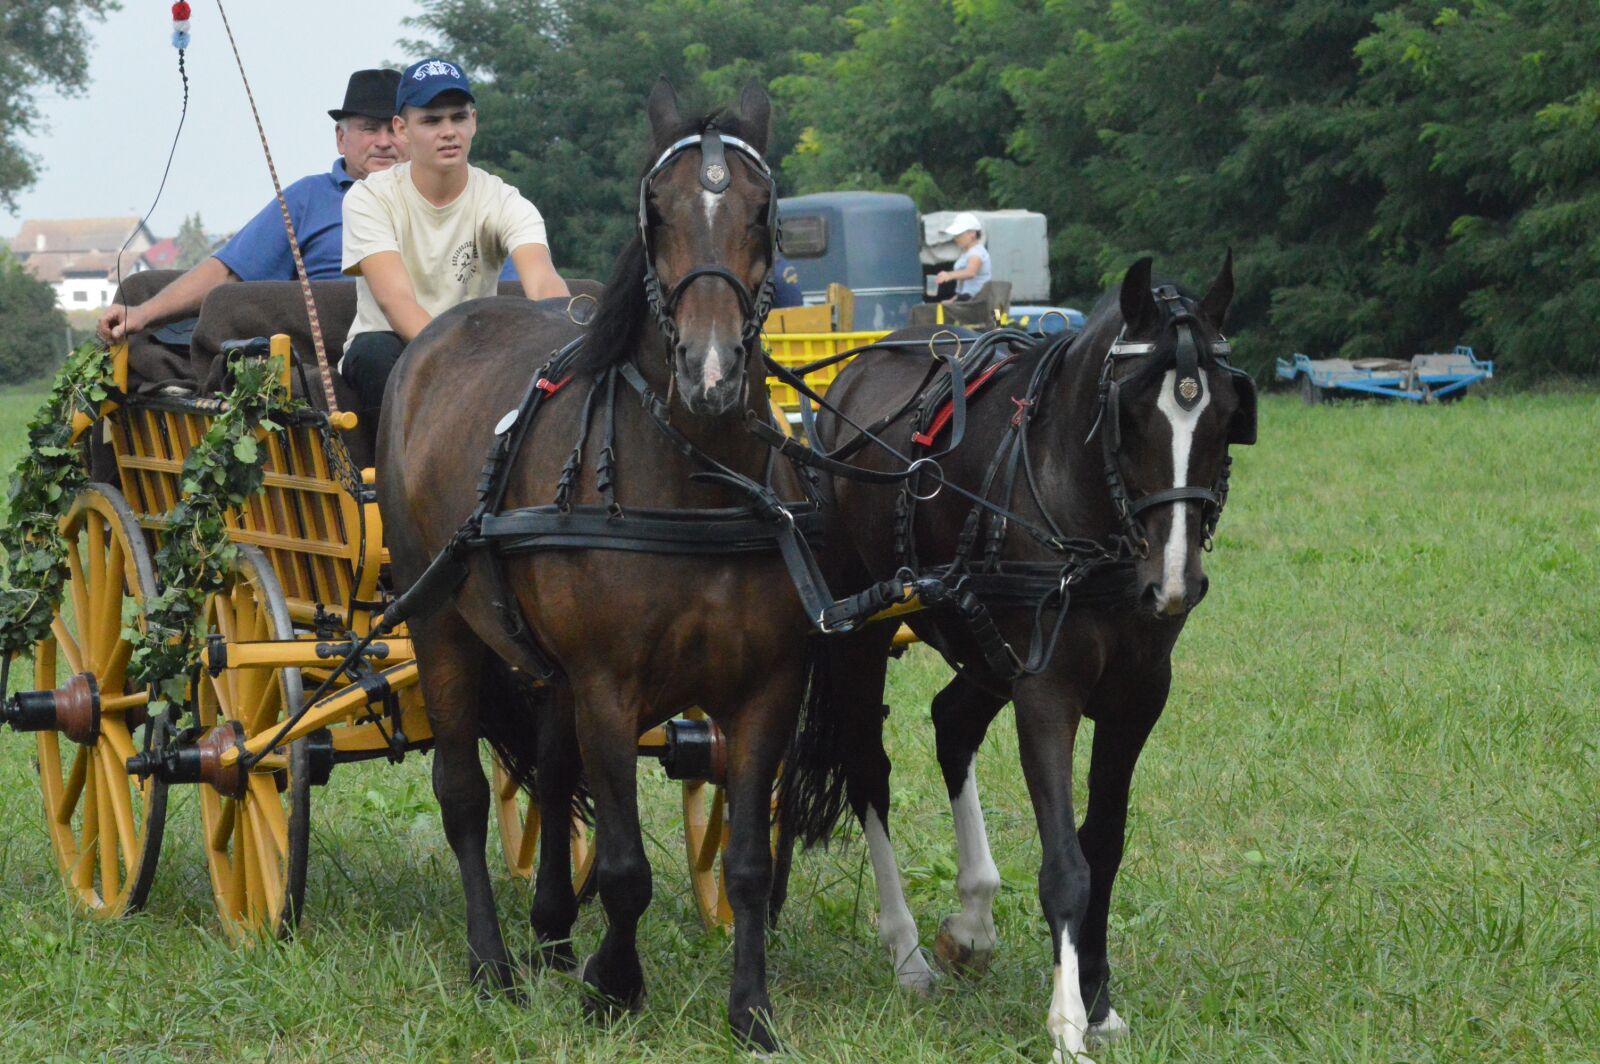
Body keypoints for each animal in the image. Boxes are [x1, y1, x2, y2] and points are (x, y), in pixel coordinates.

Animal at [377, 79, 820, 1051]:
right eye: (655, 215)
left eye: (762, 212)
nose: (710, 370)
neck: (693, 481)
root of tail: (431, 342)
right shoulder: (609, 685)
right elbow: (621, 865)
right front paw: (613, 986)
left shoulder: (767, 688)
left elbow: (747, 863)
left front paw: (752, 1010)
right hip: (437, 622)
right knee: (464, 793)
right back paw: (494, 963)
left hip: (541, 665)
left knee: (546, 773)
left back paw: (547, 931)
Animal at [782, 256, 1255, 1062]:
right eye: (1131, 416)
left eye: (1227, 415)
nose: (1174, 583)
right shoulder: (1047, 691)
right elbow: (1066, 863)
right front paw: (1067, 1023)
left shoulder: (1138, 697)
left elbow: (1105, 846)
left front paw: (1097, 998)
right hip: (862, 631)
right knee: (868, 768)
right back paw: (908, 953)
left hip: (981, 642)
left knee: (951, 723)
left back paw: (972, 920)